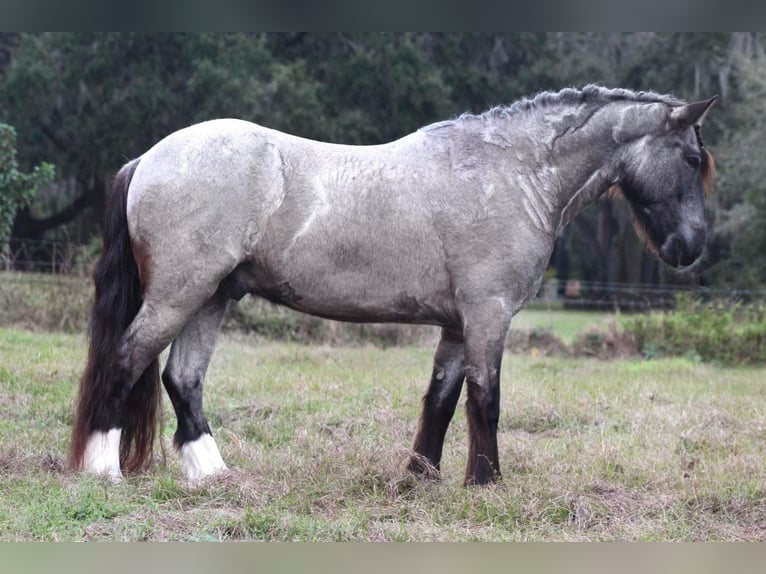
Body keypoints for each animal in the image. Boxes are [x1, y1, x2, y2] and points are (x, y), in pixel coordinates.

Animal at [69, 88, 716, 488]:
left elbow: (441, 402)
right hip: (179, 294)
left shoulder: (457, 325)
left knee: (183, 380)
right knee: (126, 360)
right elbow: (486, 400)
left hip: (212, 297)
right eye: (690, 158)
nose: (692, 247)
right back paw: (103, 469)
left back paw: (213, 474)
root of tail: (148, 158)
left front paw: (419, 479)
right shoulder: (488, 316)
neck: (512, 173)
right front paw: (488, 484)